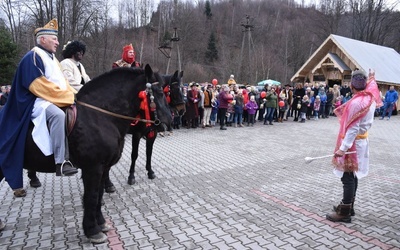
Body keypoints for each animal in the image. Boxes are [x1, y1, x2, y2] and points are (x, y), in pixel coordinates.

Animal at [16, 65, 172, 243]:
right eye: (158, 92)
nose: (169, 122)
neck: (100, 116)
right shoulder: (93, 168)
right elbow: (91, 196)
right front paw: (92, 230)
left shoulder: (103, 168)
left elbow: (99, 194)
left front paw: (101, 223)